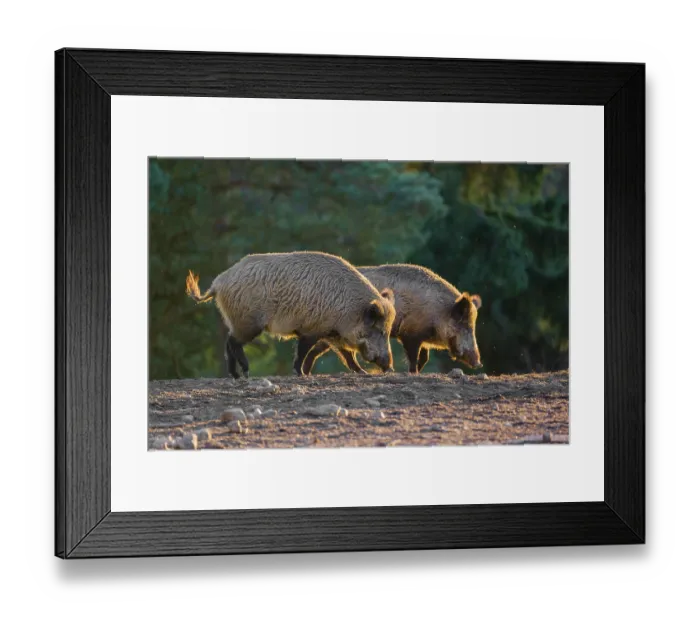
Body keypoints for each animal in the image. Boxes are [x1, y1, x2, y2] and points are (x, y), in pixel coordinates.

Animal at [185, 251, 396, 378]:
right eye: (379, 330)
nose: (389, 366)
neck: (349, 308)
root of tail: (218, 283)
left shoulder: (332, 333)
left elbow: (347, 355)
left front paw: (363, 373)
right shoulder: (312, 329)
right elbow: (302, 351)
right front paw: (300, 374)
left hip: (236, 322)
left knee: (228, 343)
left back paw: (236, 376)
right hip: (247, 323)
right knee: (233, 342)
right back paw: (246, 373)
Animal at [302, 264, 483, 374]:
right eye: (465, 325)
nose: (478, 363)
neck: (437, 312)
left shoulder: (420, 335)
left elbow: (425, 357)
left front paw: (415, 370)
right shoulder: (410, 334)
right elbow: (415, 355)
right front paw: (412, 372)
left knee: (321, 350)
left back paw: (307, 372)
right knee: (344, 353)